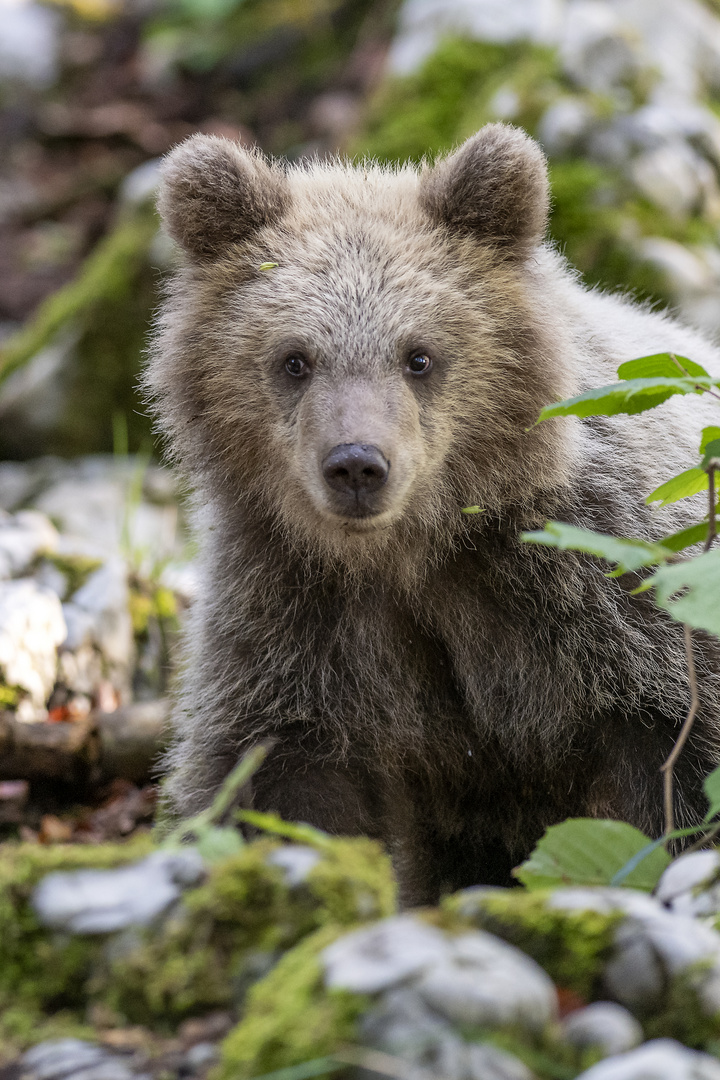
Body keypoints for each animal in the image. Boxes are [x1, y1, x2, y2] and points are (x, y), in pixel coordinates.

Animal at [146, 122, 720, 907]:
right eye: (294, 359)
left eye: (418, 355)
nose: (357, 465)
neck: (418, 550)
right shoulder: (296, 614)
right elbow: (276, 778)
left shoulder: (612, 593)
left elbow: (673, 777)